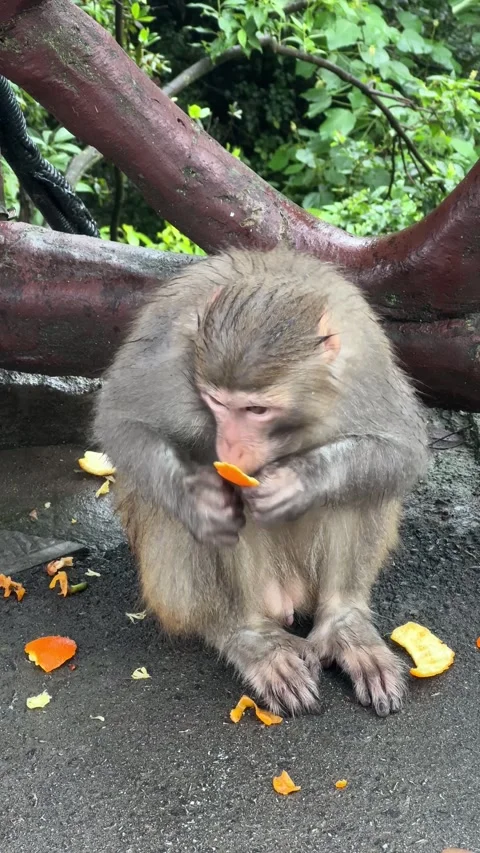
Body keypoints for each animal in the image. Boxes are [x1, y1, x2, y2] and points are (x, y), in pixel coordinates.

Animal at [93, 245, 429, 717]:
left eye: (256, 410)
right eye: (217, 402)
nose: (231, 449)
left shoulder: (365, 366)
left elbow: (402, 449)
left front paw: (299, 484)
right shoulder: (167, 359)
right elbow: (120, 423)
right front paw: (198, 502)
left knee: (361, 490)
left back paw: (344, 624)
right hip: (173, 593)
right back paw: (249, 635)